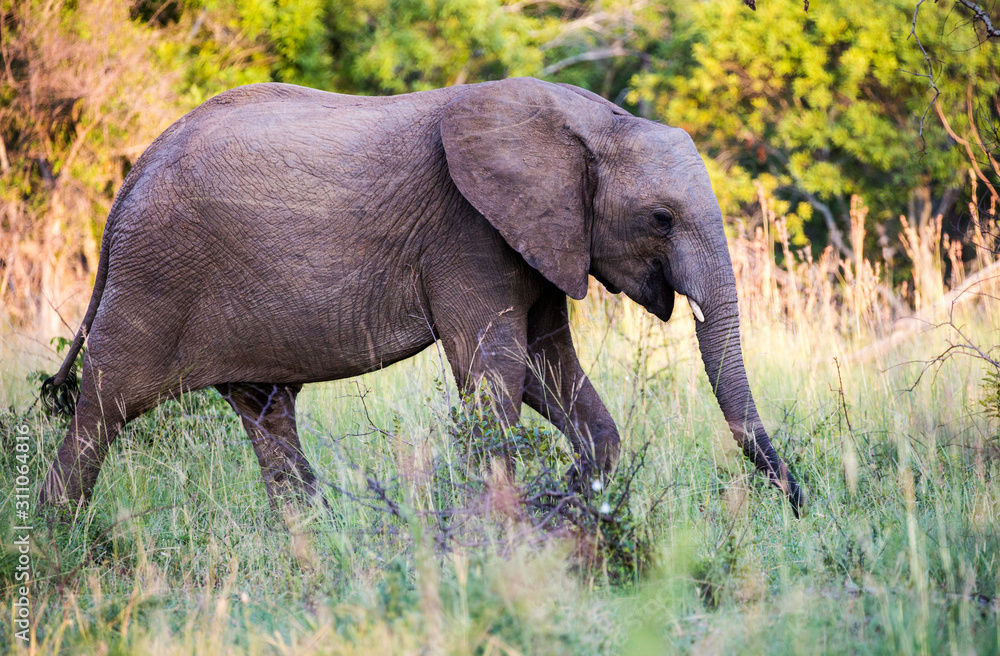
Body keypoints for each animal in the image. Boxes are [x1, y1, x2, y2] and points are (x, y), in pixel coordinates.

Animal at [41, 77, 804, 516]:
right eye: (661, 219)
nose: (798, 502)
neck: (590, 121)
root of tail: (131, 179)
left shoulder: (538, 234)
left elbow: (549, 368)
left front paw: (570, 498)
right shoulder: (468, 231)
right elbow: (496, 372)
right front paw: (500, 526)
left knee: (266, 412)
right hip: (154, 278)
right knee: (102, 409)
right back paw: (57, 543)